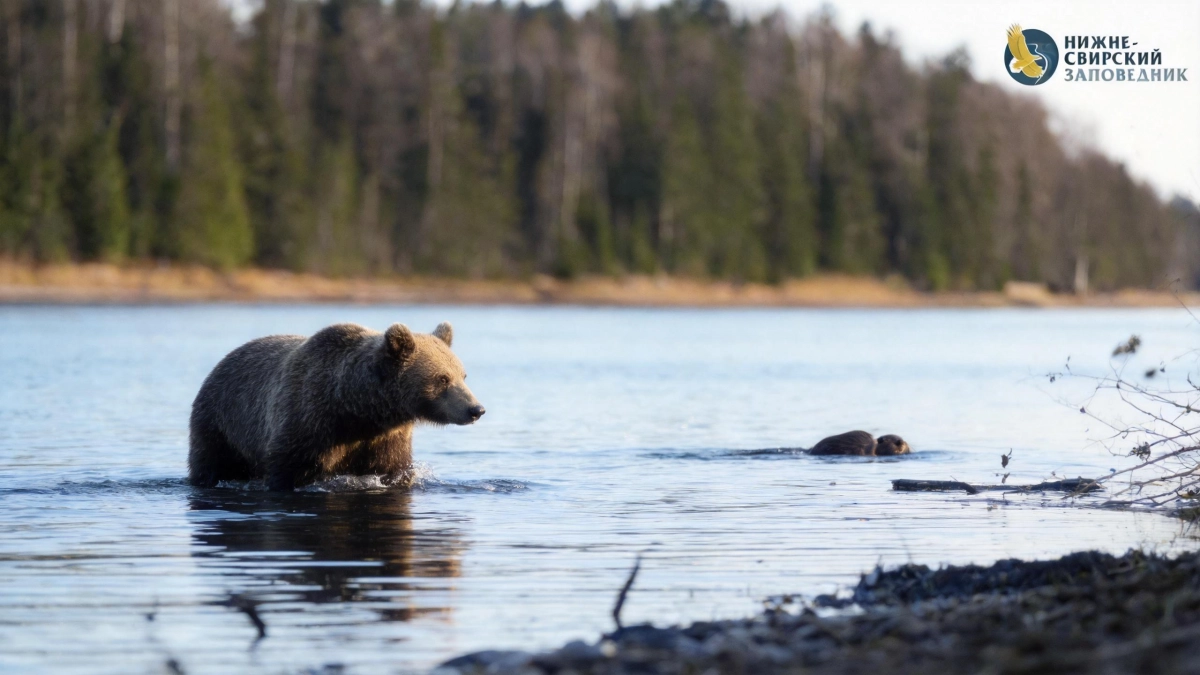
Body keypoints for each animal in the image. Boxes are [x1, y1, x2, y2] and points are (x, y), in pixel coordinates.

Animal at [188, 321, 484, 491]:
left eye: (463, 375)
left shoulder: (385, 438)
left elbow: (392, 471)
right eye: (442, 378)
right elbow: (286, 470)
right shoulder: (306, 421)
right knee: (210, 462)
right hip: (222, 422)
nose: (476, 409)